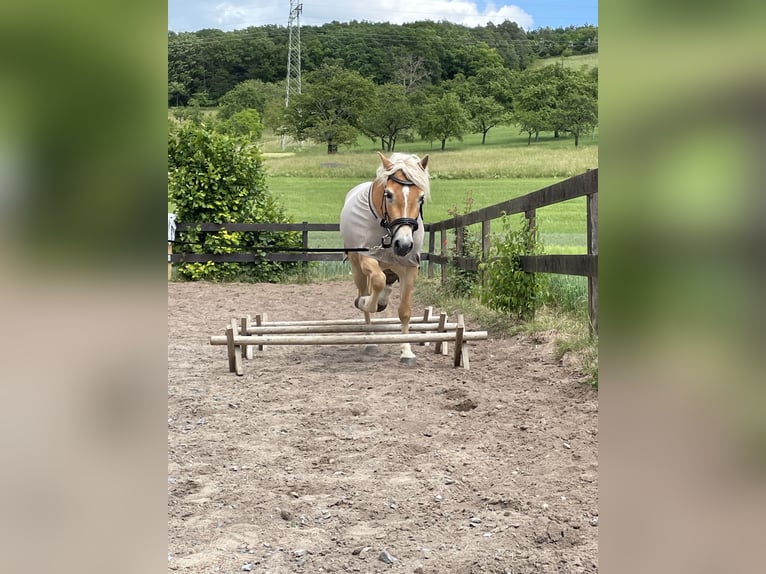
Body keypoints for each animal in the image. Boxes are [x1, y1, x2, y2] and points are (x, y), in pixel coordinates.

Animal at [342, 152, 432, 368]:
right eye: (389, 195)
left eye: (421, 198)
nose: (404, 244)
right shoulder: (368, 259)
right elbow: (376, 282)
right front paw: (365, 302)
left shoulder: (409, 268)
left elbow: (405, 311)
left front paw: (407, 352)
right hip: (357, 268)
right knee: (367, 290)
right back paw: (370, 339)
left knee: (387, 282)